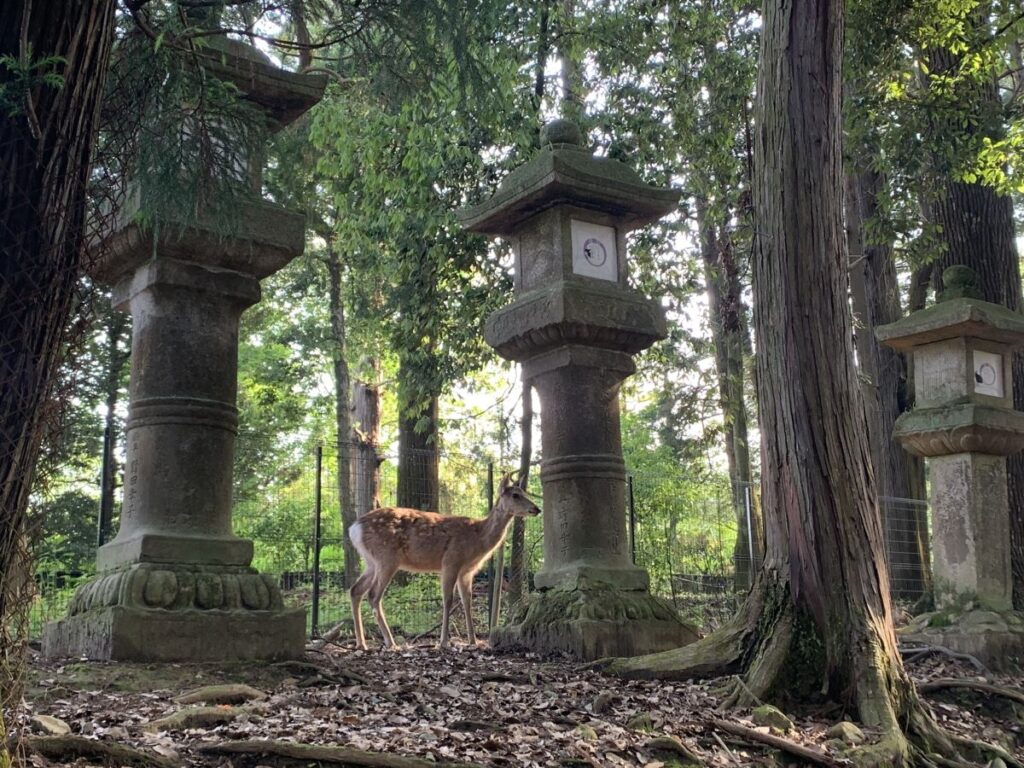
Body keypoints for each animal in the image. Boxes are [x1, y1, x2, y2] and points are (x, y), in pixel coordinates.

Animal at [348, 473, 541, 650]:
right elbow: (448, 599)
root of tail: (354, 528)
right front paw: (444, 641)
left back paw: (361, 643)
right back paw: (390, 642)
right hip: (387, 557)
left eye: (524, 492)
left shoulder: (467, 571)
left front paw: (473, 641)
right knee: (373, 595)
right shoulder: (451, 561)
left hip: (371, 561)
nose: (537, 509)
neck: (478, 539)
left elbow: (467, 601)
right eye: (515, 495)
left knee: (355, 590)